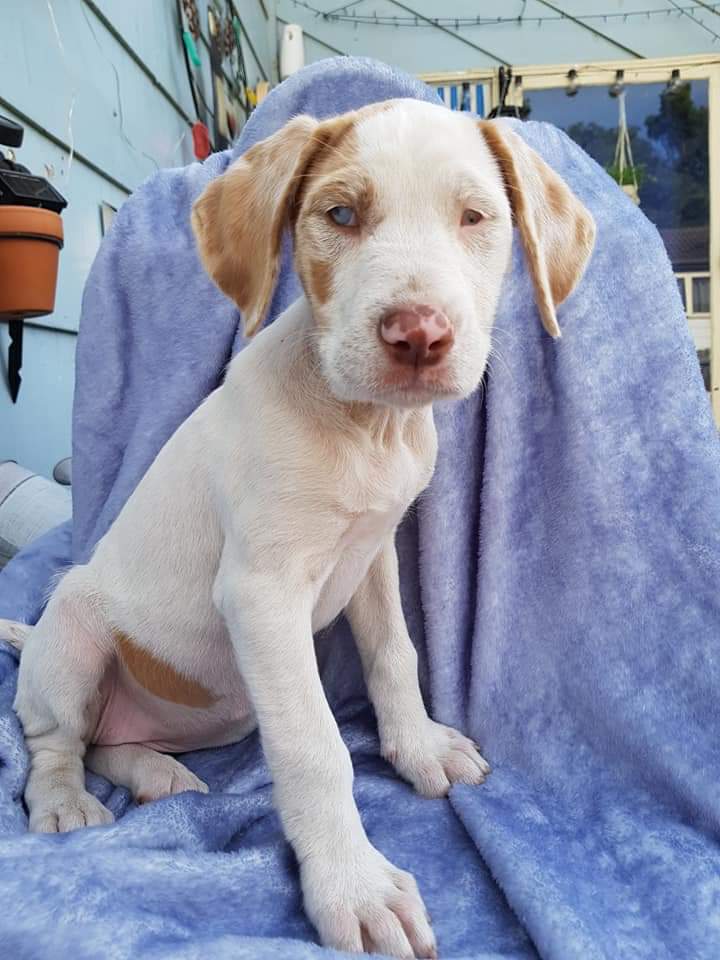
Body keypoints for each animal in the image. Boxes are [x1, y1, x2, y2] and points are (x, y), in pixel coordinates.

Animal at [2, 99, 594, 958]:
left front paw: (417, 748)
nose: (418, 334)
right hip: (74, 638)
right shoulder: (262, 594)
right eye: (340, 215)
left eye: (475, 217)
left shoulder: (375, 556)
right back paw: (64, 802)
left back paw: (154, 773)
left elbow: (395, 656)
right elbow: (314, 747)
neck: (364, 427)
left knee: (109, 740)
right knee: (54, 740)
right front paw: (355, 885)